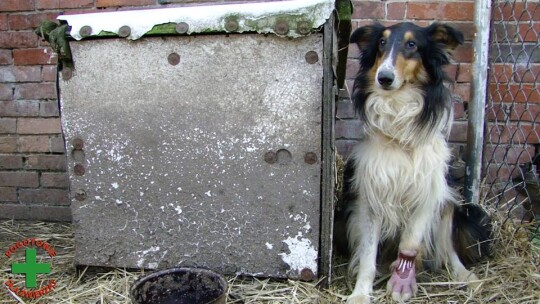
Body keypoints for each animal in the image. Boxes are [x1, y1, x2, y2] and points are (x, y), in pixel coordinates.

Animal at [342, 22, 494, 302]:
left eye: (412, 45)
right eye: (381, 43)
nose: (384, 77)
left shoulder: (428, 191)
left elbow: (410, 243)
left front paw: (402, 283)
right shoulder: (369, 194)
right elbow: (368, 252)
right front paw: (360, 292)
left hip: (452, 203)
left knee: (448, 248)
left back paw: (466, 276)